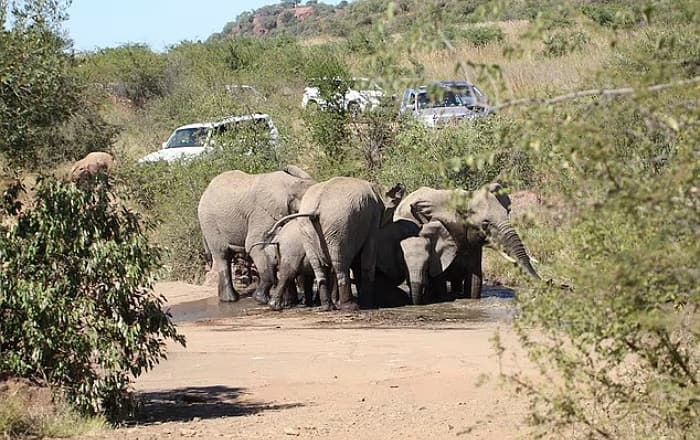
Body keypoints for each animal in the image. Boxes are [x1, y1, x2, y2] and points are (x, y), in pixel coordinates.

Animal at [198, 165, 316, 302]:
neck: (290, 184)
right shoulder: (262, 212)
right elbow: (255, 245)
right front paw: (261, 299)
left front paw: (288, 301)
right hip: (210, 223)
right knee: (223, 256)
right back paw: (230, 299)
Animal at [262, 177, 404, 312]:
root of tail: (315, 208)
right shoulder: (373, 219)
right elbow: (367, 257)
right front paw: (369, 305)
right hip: (339, 224)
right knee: (339, 265)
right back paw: (350, 307)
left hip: (308, 227)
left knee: (318, 267)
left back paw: (325, 307)